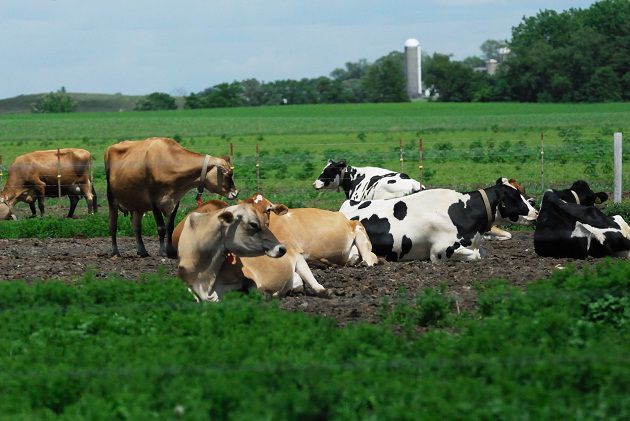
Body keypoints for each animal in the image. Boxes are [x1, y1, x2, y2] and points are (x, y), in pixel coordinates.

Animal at [107, 136, 238, 258]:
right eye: (229, 174)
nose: (235, 193)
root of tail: (111, 147)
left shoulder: (175, 200)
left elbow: (170, 226)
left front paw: (170, 251)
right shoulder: (153, 200)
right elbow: (161, 227)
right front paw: (162, 251)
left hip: (138, 204)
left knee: (136, 226)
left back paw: (142, 251)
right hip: (112, 197)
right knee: (113, 224)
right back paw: (115, 251)